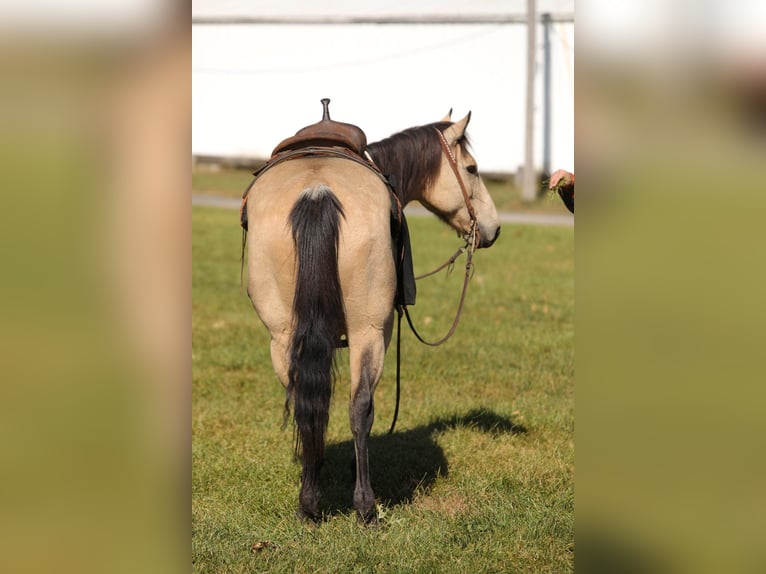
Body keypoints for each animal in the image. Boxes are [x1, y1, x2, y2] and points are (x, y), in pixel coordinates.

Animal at [243, 100, 500, 528]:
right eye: (472, 169)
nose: (492, 229)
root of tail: (317, 191)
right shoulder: (381, 329)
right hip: (369, 332)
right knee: (360, 407)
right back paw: (365, 506)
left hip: (281, 337)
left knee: (306, 403)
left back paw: (308, 502)